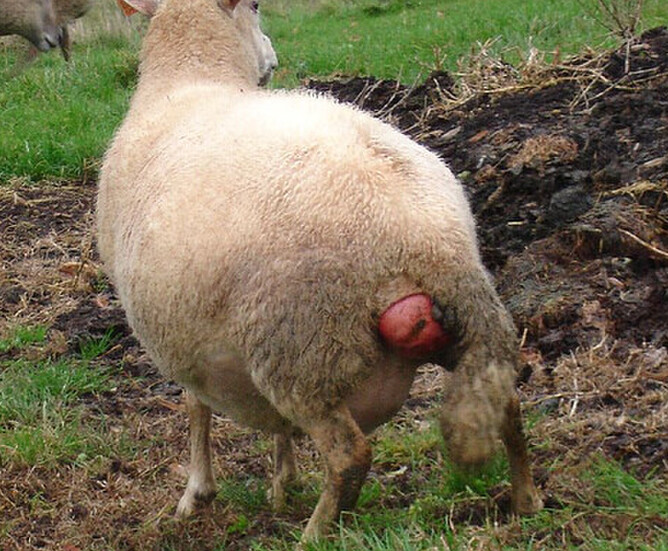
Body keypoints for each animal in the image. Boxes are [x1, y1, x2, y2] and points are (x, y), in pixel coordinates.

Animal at [97, 0, 544, 542]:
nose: (273, 56)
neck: (190, 80)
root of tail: (426, 239)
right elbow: (269, 425)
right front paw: (282, 480)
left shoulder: (178, 338)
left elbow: (195, 406)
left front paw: (197, 493)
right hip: (451, 327)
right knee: (506, 402)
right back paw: (527, 500)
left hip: (301, 348)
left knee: (349, 454)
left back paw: (313, 535)